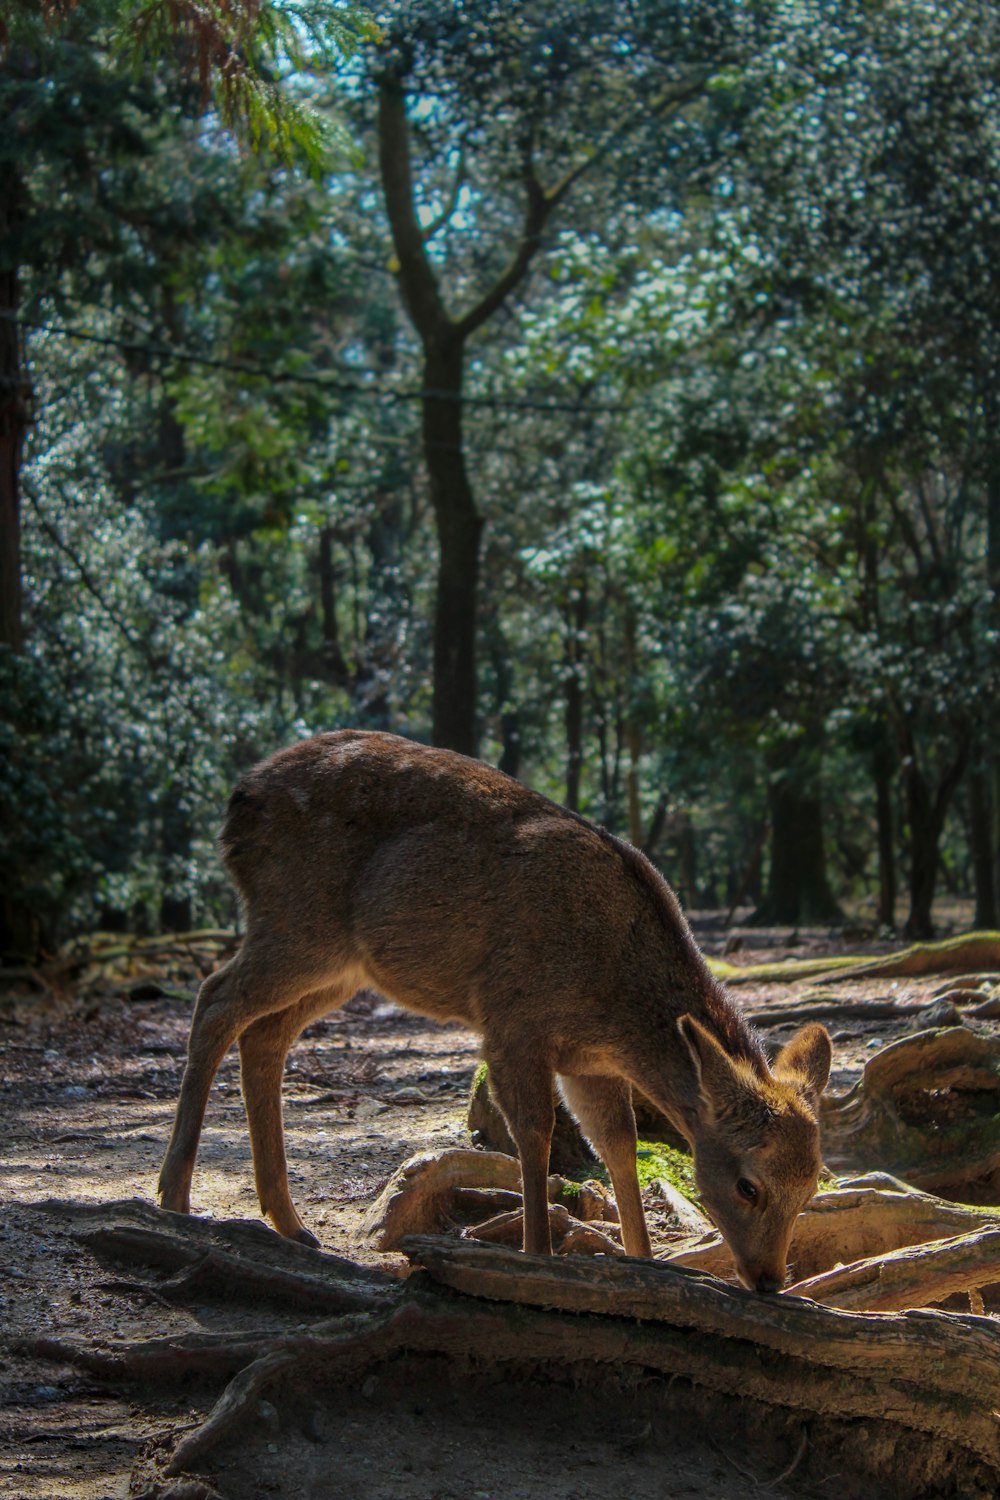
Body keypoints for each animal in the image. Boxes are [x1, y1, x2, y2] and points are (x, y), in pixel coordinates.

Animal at [160, 726, 833, 1290]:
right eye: (748, 1185)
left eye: (811, 1185)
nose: (769, 1280)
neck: (612, 1000)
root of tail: (239, 799)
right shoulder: (514, 1019)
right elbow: (533, 1138)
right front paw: (536, 1257)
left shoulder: (588, 1063)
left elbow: (617, 1146)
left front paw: (644, 1261)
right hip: (298, 921)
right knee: (214, 998)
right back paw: (175, 1197)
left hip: (342, 964)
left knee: (264, 1034)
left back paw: (289, 1221)